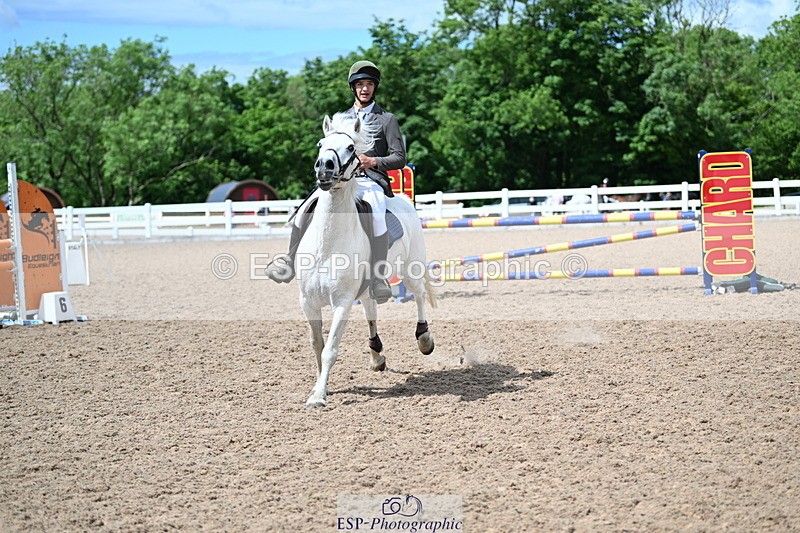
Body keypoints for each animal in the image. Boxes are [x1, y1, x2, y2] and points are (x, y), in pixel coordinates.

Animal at [295, 113, 436, 408]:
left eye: (351, 148)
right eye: (321, 143)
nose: (324, 168)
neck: (327, 245)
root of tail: (404, 198)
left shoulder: (343, 302)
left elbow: (330, 348)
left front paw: (319, 396)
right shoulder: (307, 301)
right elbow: (317, 344)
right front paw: (319, 388)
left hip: (411, 269)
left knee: (418, 296)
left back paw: (424, 339)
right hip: (369, 287)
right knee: (371, 309)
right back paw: (376, 354)